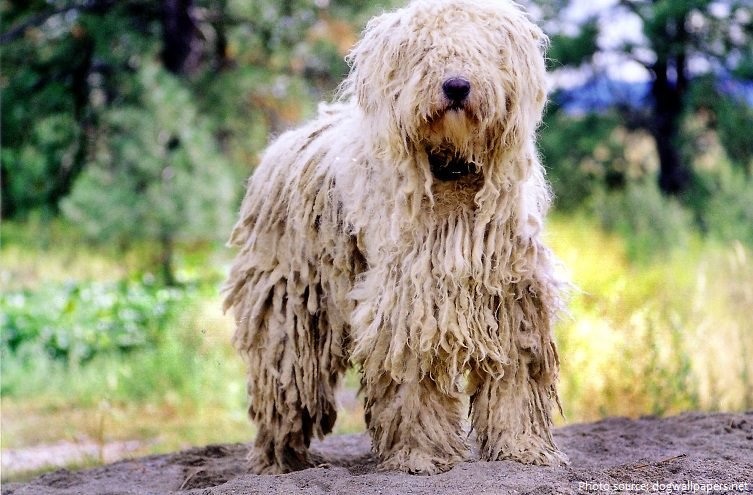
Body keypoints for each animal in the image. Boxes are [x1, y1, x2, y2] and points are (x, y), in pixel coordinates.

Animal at [223, 0, 568, 474]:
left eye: (481, 51)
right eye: (425, 52)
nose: (456, 86)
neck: (451, 173)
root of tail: (287, 142)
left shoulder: (511, 293)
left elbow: (515, 373)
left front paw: (521, 448)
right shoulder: (408, 299)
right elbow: (412, 380)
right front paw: (421, 455)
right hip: (289, 304)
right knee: (284, 381)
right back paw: (279, 461)